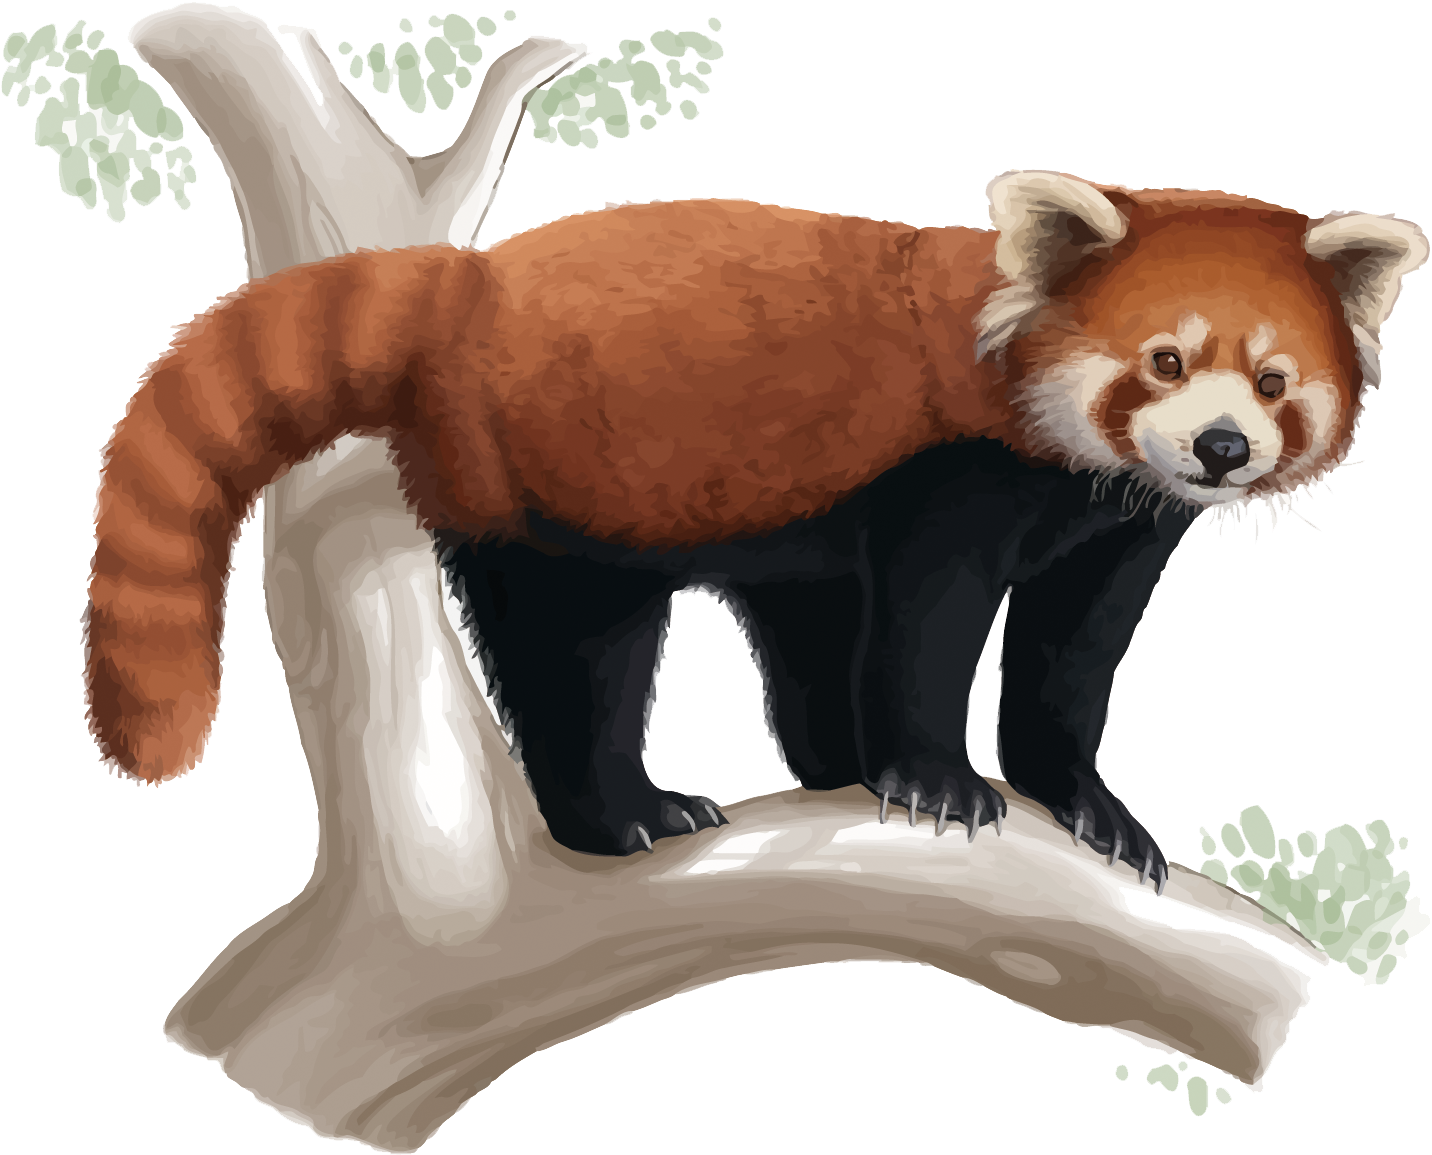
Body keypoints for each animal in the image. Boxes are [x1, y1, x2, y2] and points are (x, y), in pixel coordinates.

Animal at [84, 170, 1427, 893]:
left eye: (1271, 381)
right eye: (1164, 362)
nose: (1220, 449)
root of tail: (464, 290)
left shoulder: (1117, 524)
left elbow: (1071, 656)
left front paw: (1091, 805)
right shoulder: (948, 478)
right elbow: (926, 628)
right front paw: (936, 777)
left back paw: (821, 762)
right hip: (552, 479)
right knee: (579, 658)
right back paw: (624, 812)